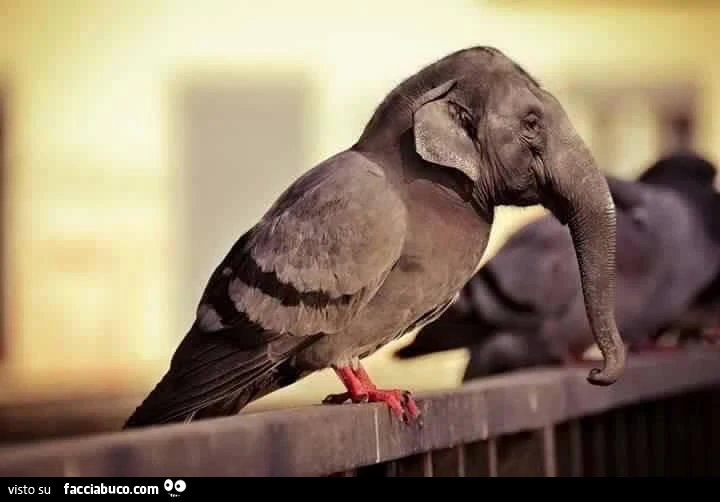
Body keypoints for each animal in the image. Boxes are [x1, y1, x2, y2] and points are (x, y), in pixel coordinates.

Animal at [124, 46, 624, 429]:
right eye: (533, 123)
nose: (597, 372)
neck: (424, 189)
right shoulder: (342, 336)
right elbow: (344, 359)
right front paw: (377, 394)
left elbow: (356, 364)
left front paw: (369, 392)